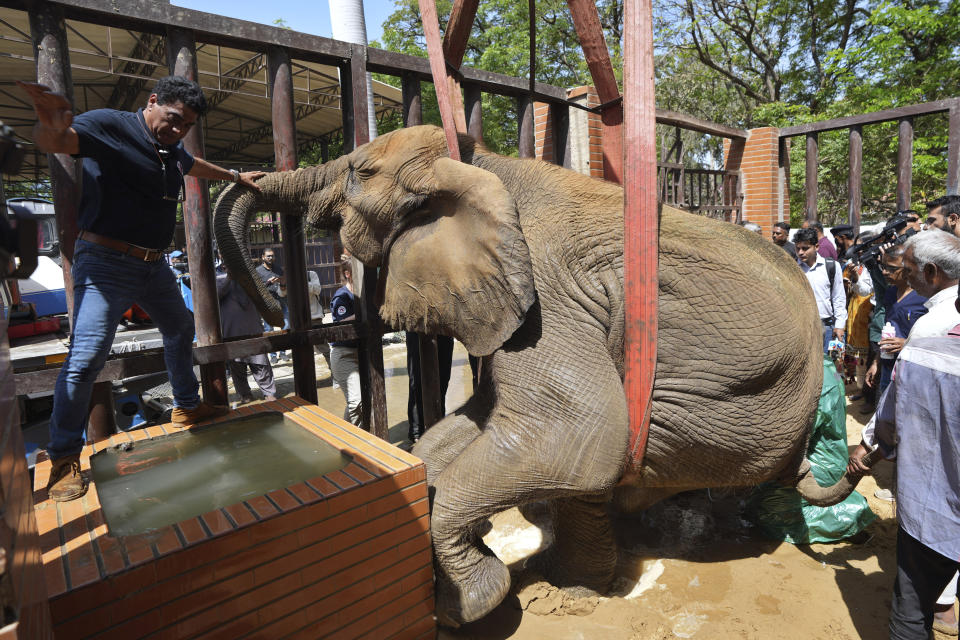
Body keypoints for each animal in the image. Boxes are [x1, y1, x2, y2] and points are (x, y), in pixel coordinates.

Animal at [212, 125, 872, 624]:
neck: (480, 166)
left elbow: (574, 430)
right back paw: (576, 586)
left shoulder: (551, 294)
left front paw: (470, 604)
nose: (270, 312)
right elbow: (479, 424)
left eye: (359, 172)